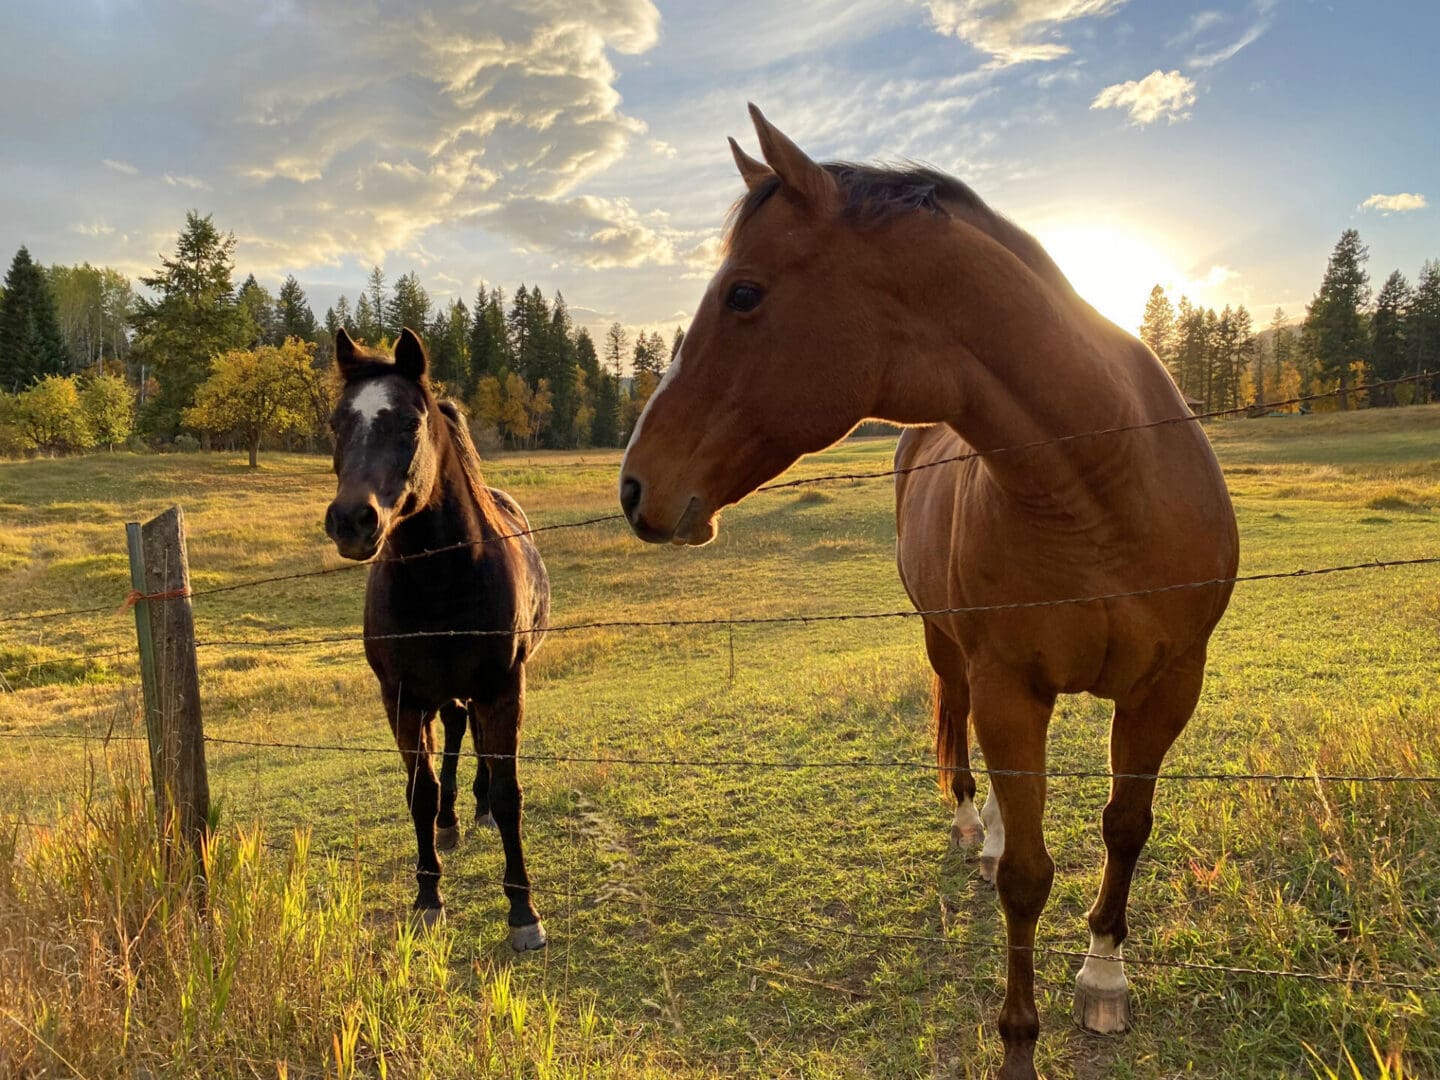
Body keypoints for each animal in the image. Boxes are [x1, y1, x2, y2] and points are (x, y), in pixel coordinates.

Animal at [323, 326, 550, 951]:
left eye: (409, 422)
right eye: (336, 422)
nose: (351, 521)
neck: (443, 579)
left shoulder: (503, 688)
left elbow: (509, 791)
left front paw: (523, 911)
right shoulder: (401, 699)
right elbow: (419, 793)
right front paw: (428, 896)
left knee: (475, 741)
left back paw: (476, 809)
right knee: (452, 733)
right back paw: (450, 822)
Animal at [618, 106, 1238, 1079]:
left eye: (744, 295)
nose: (634, 485)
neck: (1103, 483)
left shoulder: (1169, 686)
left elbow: (1125, 827)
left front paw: (1103, 974)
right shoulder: (1009, 687)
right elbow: (1027, 874)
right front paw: (1018, 1042)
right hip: (952, 652)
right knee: (966, 744)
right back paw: (978, 830)